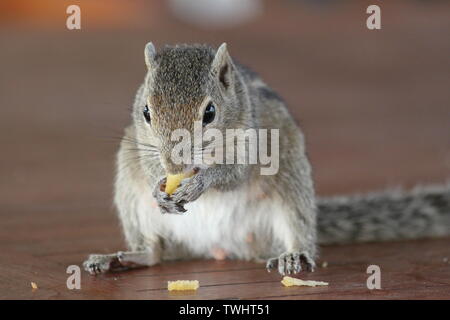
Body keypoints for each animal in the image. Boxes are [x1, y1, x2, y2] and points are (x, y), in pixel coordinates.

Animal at [82, 42, 448, 276]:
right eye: (146, 111)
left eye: (210, 112)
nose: (174, 167)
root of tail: (216, 246)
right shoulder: (138, 142)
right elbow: (149, 166)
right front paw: (160, 185)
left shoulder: (256, 140)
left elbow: (235, 172)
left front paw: (202, 181)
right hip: (129, 190)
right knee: (156, 253)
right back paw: (122, 258)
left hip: (291, 181)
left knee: (297, 226)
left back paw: (294, 256)